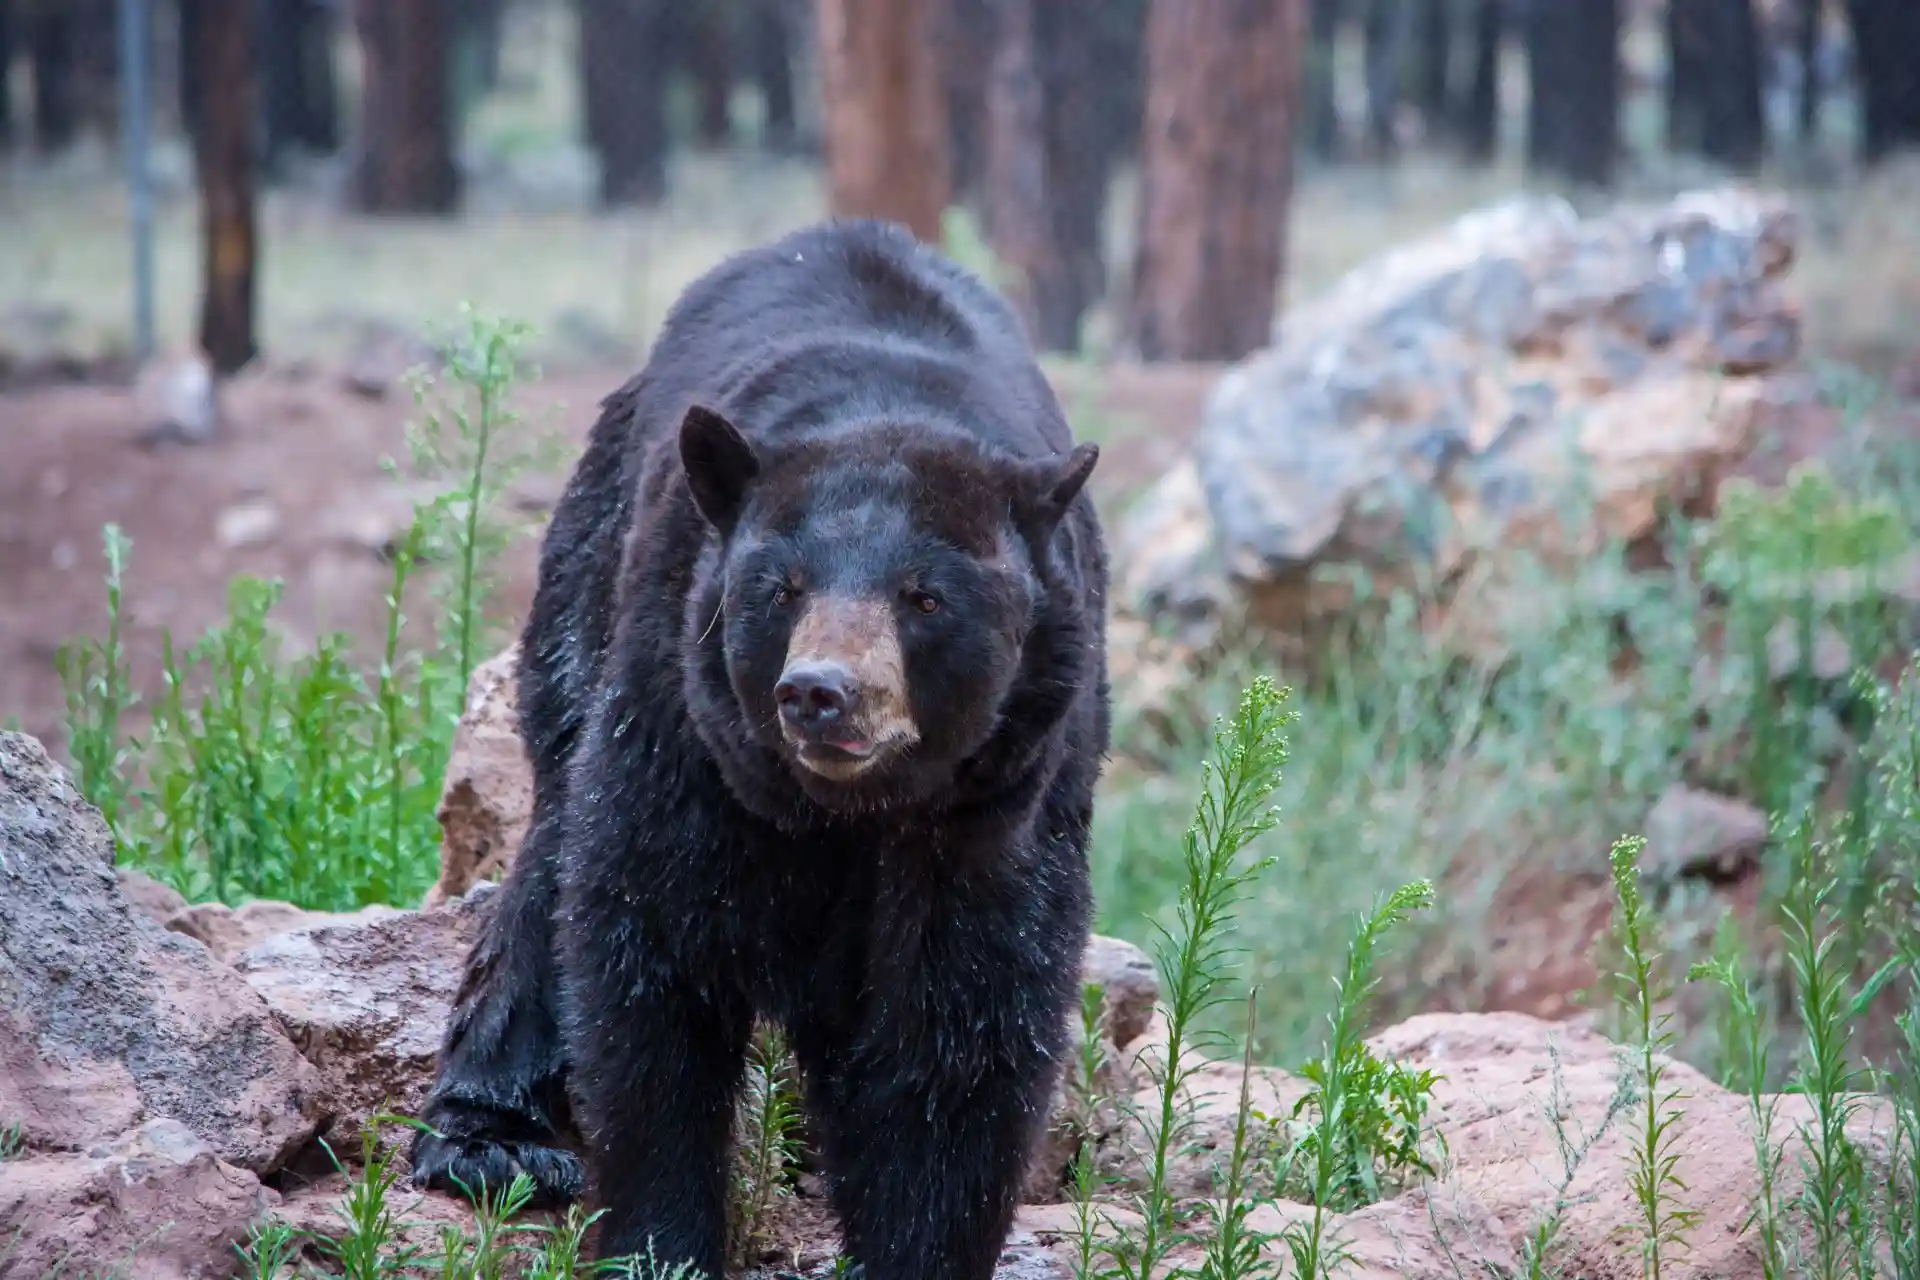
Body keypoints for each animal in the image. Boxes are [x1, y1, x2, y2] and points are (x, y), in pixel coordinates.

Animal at [407, 219, 1110, 1278]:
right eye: (782, 587)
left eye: (924, 595)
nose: (819, 693)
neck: (848, 811)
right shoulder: (683, 721)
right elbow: (651, 959)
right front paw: (661, 1241)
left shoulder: (998, 803)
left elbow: (961, 1023)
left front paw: (917, 1243)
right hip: (591, 572)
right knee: (552, 849)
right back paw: (493, 1140)